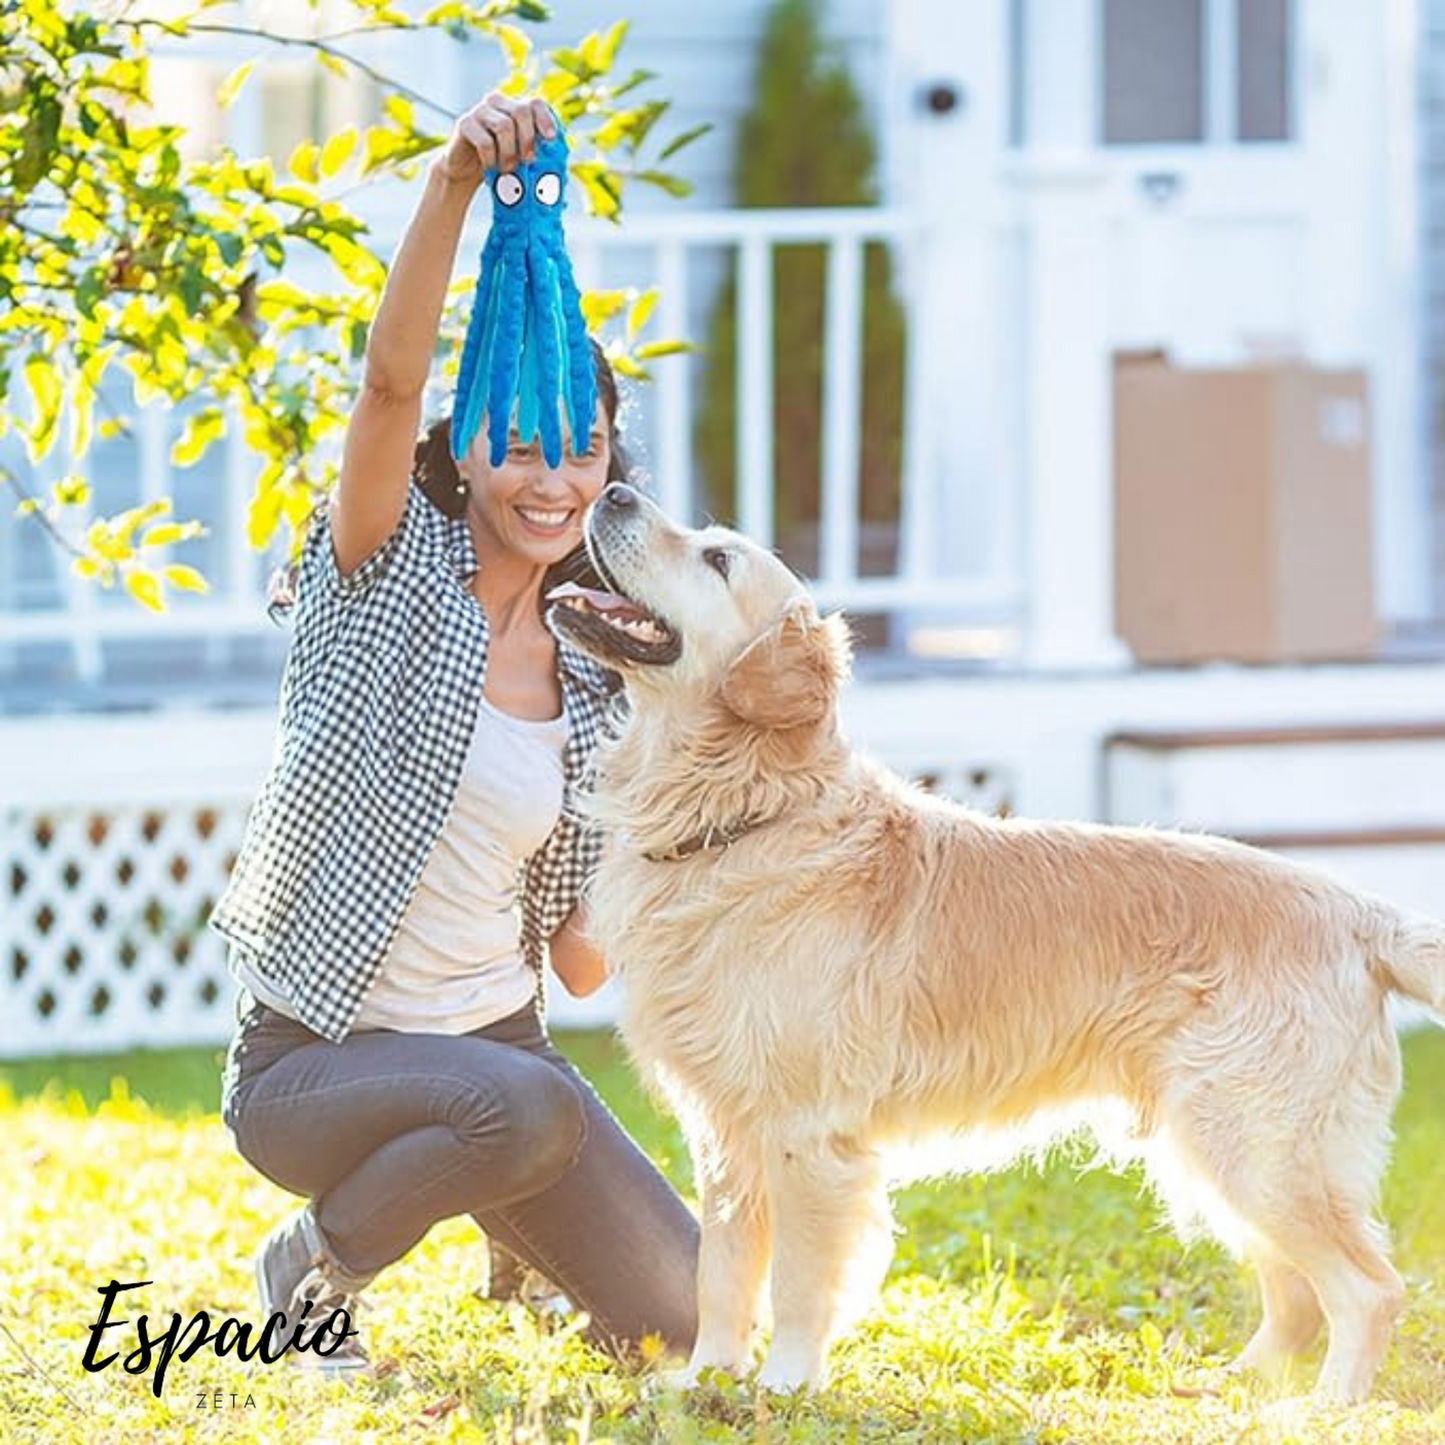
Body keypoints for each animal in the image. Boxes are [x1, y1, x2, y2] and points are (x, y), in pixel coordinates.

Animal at [549, 485, 1445, 1398]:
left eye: (718, 559)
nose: (614, 490)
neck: (744, 811)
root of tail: (1358, 911)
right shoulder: (725, 1134)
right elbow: (721, 1271)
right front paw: (706, 1378)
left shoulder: (806, 1132)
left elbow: (796, 1282)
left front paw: (783, 1385)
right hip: (1209, 1148)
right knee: (1295, 1295)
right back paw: (1233, 1387)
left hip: (1254, 1145)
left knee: (1366, 1288)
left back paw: (1324, 1407)